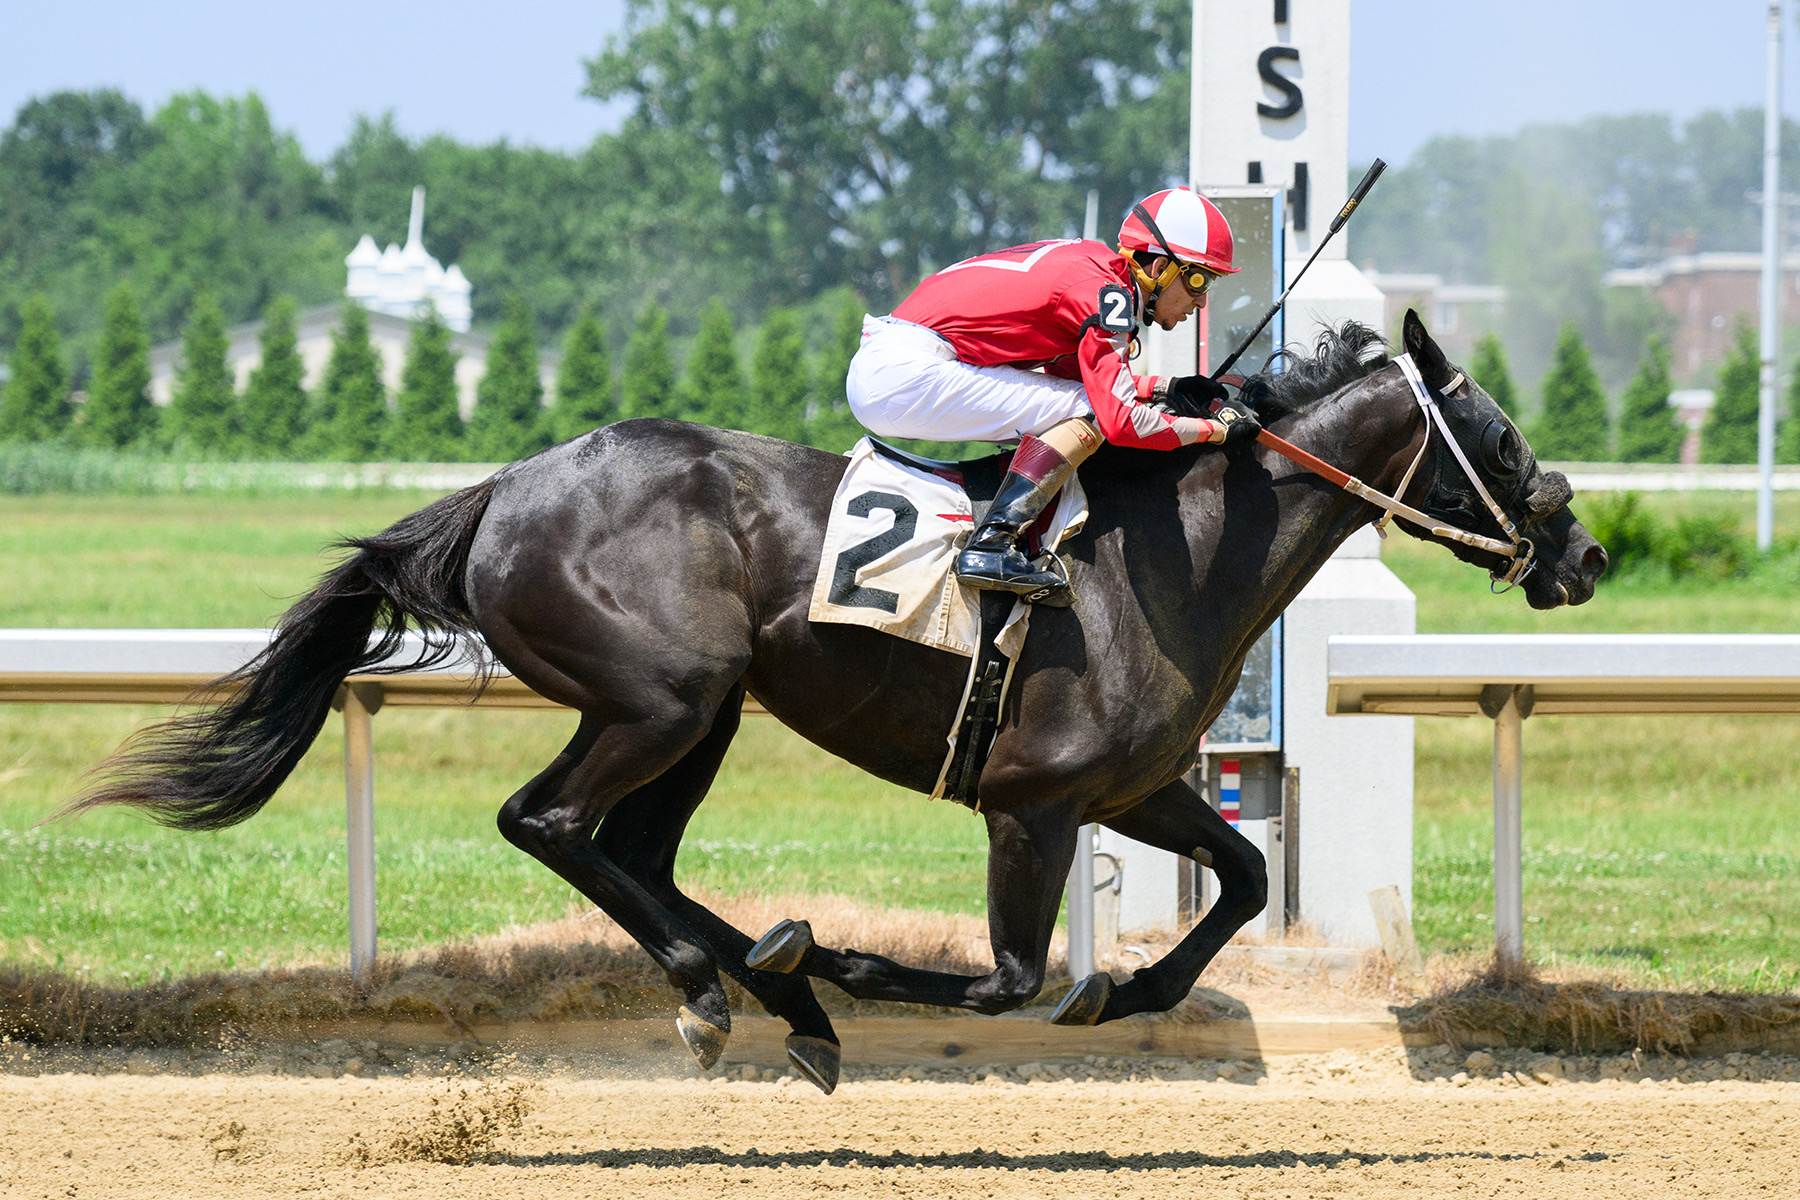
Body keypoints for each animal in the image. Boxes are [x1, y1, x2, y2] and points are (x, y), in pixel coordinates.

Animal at [67, 311, 1606, 1094]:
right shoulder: (1033, 803)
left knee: (632, 850)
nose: (1583, 553)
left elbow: (1236, 876)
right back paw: (739, 987)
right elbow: (1012, 975)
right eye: (1499, 434)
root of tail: (503, 490)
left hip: (709, 710)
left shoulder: (1136, 785)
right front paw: (867, 966)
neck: (1171, 555)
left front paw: (1136, 993)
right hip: (662, 695)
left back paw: (774, 988)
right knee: (550, 823)